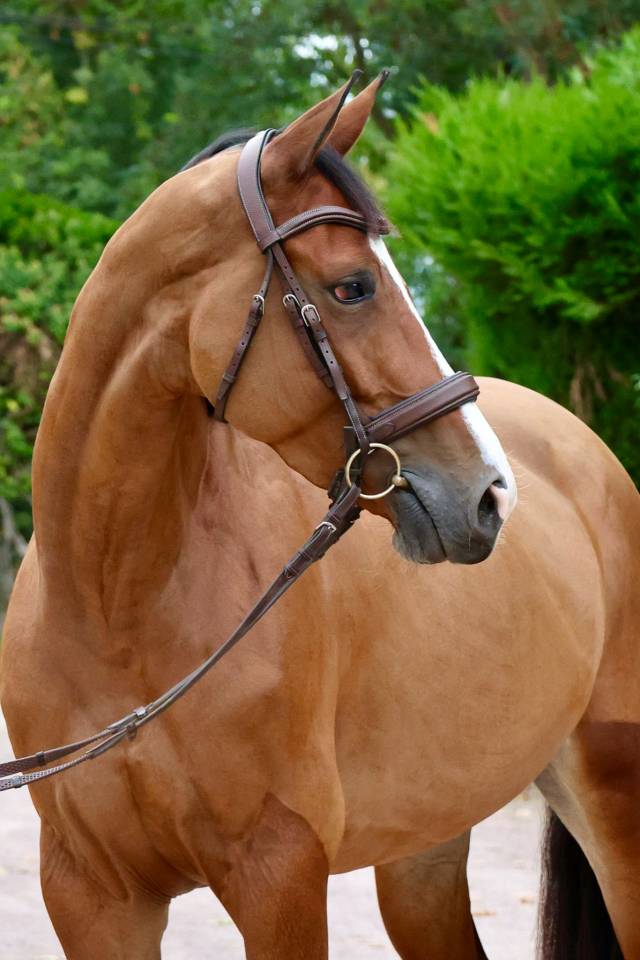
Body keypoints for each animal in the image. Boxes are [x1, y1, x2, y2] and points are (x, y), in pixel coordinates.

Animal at [1, 74, 638, 960]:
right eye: (353, 286)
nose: (491, 495)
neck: (114, 611)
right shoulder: (90, 894)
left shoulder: (281, 876)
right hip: (423, 849)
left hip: (614, 799)